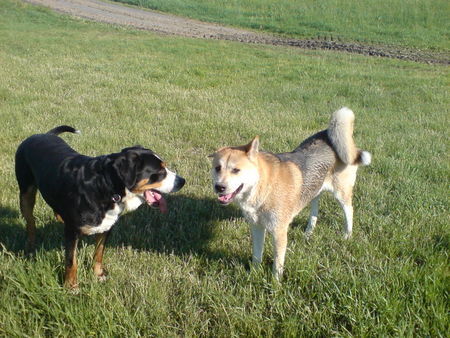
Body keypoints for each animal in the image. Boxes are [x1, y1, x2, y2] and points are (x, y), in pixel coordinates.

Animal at [15, 125, 185, 290]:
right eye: (160, 171)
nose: (182, 181)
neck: (107, 186)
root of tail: (43, 134)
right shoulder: (72, 231)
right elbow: (71, 262)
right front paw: (71, 287)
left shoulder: (106, 226)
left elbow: (98, 253)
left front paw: (97, 275)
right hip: (26, 194)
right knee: (30, 223)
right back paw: (30, 248)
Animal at [209, 107, 370, 280]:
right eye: (217, 168)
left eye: (236, 170)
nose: (219, 187)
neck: (263, 187)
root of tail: (329, 134)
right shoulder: (257, 226)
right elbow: (257, 255)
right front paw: (254, 274)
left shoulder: (279, 231)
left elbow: (277, 264)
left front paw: (275, 283)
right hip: (315, 190)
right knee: (315, 211)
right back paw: (308, 232)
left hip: (341, 193)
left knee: (349, 211)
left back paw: (347, 235)